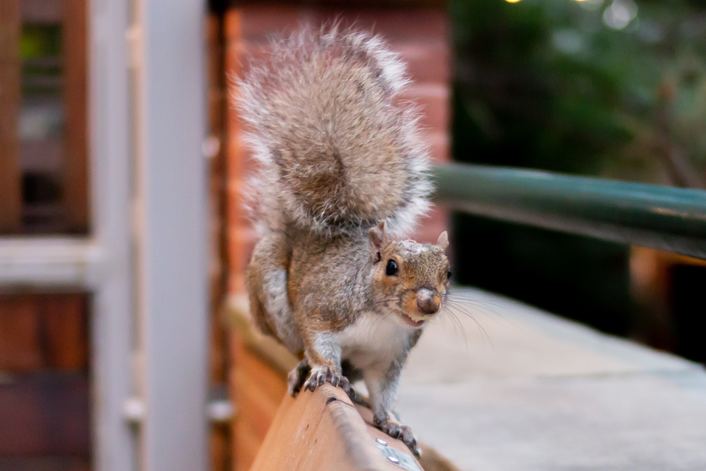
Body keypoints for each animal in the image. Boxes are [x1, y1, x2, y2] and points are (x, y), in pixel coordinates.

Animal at [238, 26, 450, 456]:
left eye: (448, 274)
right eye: (390, 265)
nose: (429, 303)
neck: (383, 320)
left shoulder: (391, 357)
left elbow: (385, 392)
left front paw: (393, 422)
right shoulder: (324, 307)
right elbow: (318, 339)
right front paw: (325, 371)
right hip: (271, 291)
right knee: (296, 345)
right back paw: (308, 369)